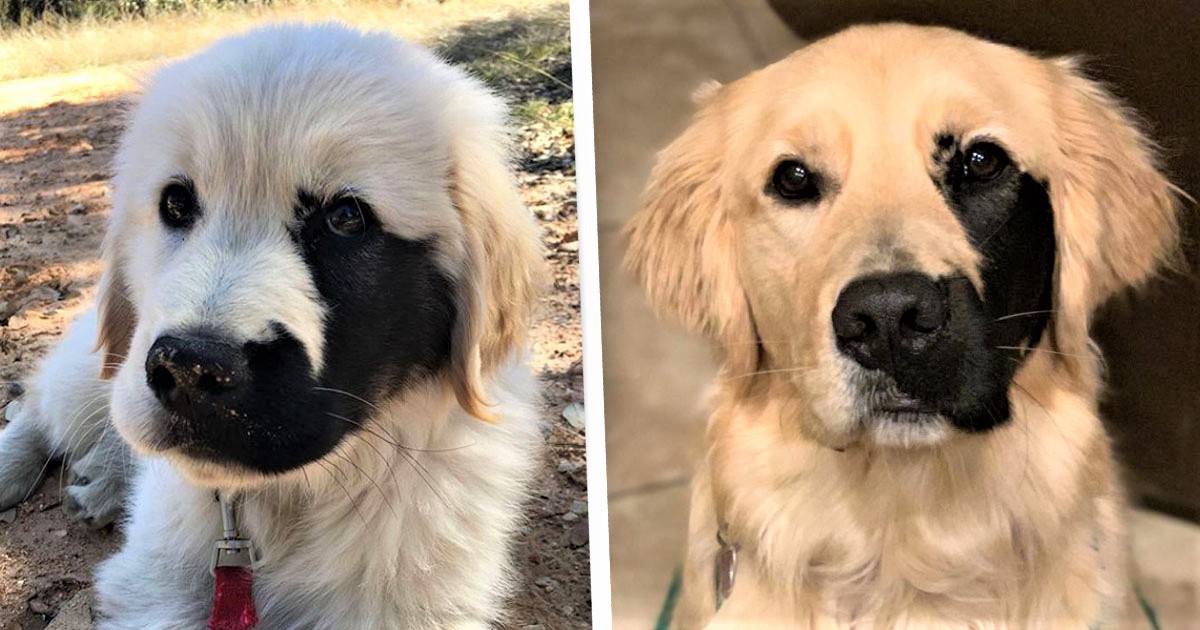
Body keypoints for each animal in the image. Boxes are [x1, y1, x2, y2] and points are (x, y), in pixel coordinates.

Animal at [2, 22, 547, 624]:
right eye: (175, 204)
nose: (190, 368)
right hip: (98, 375)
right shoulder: (153, 585)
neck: (294, 497)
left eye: (346, 218)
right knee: (39, 405)